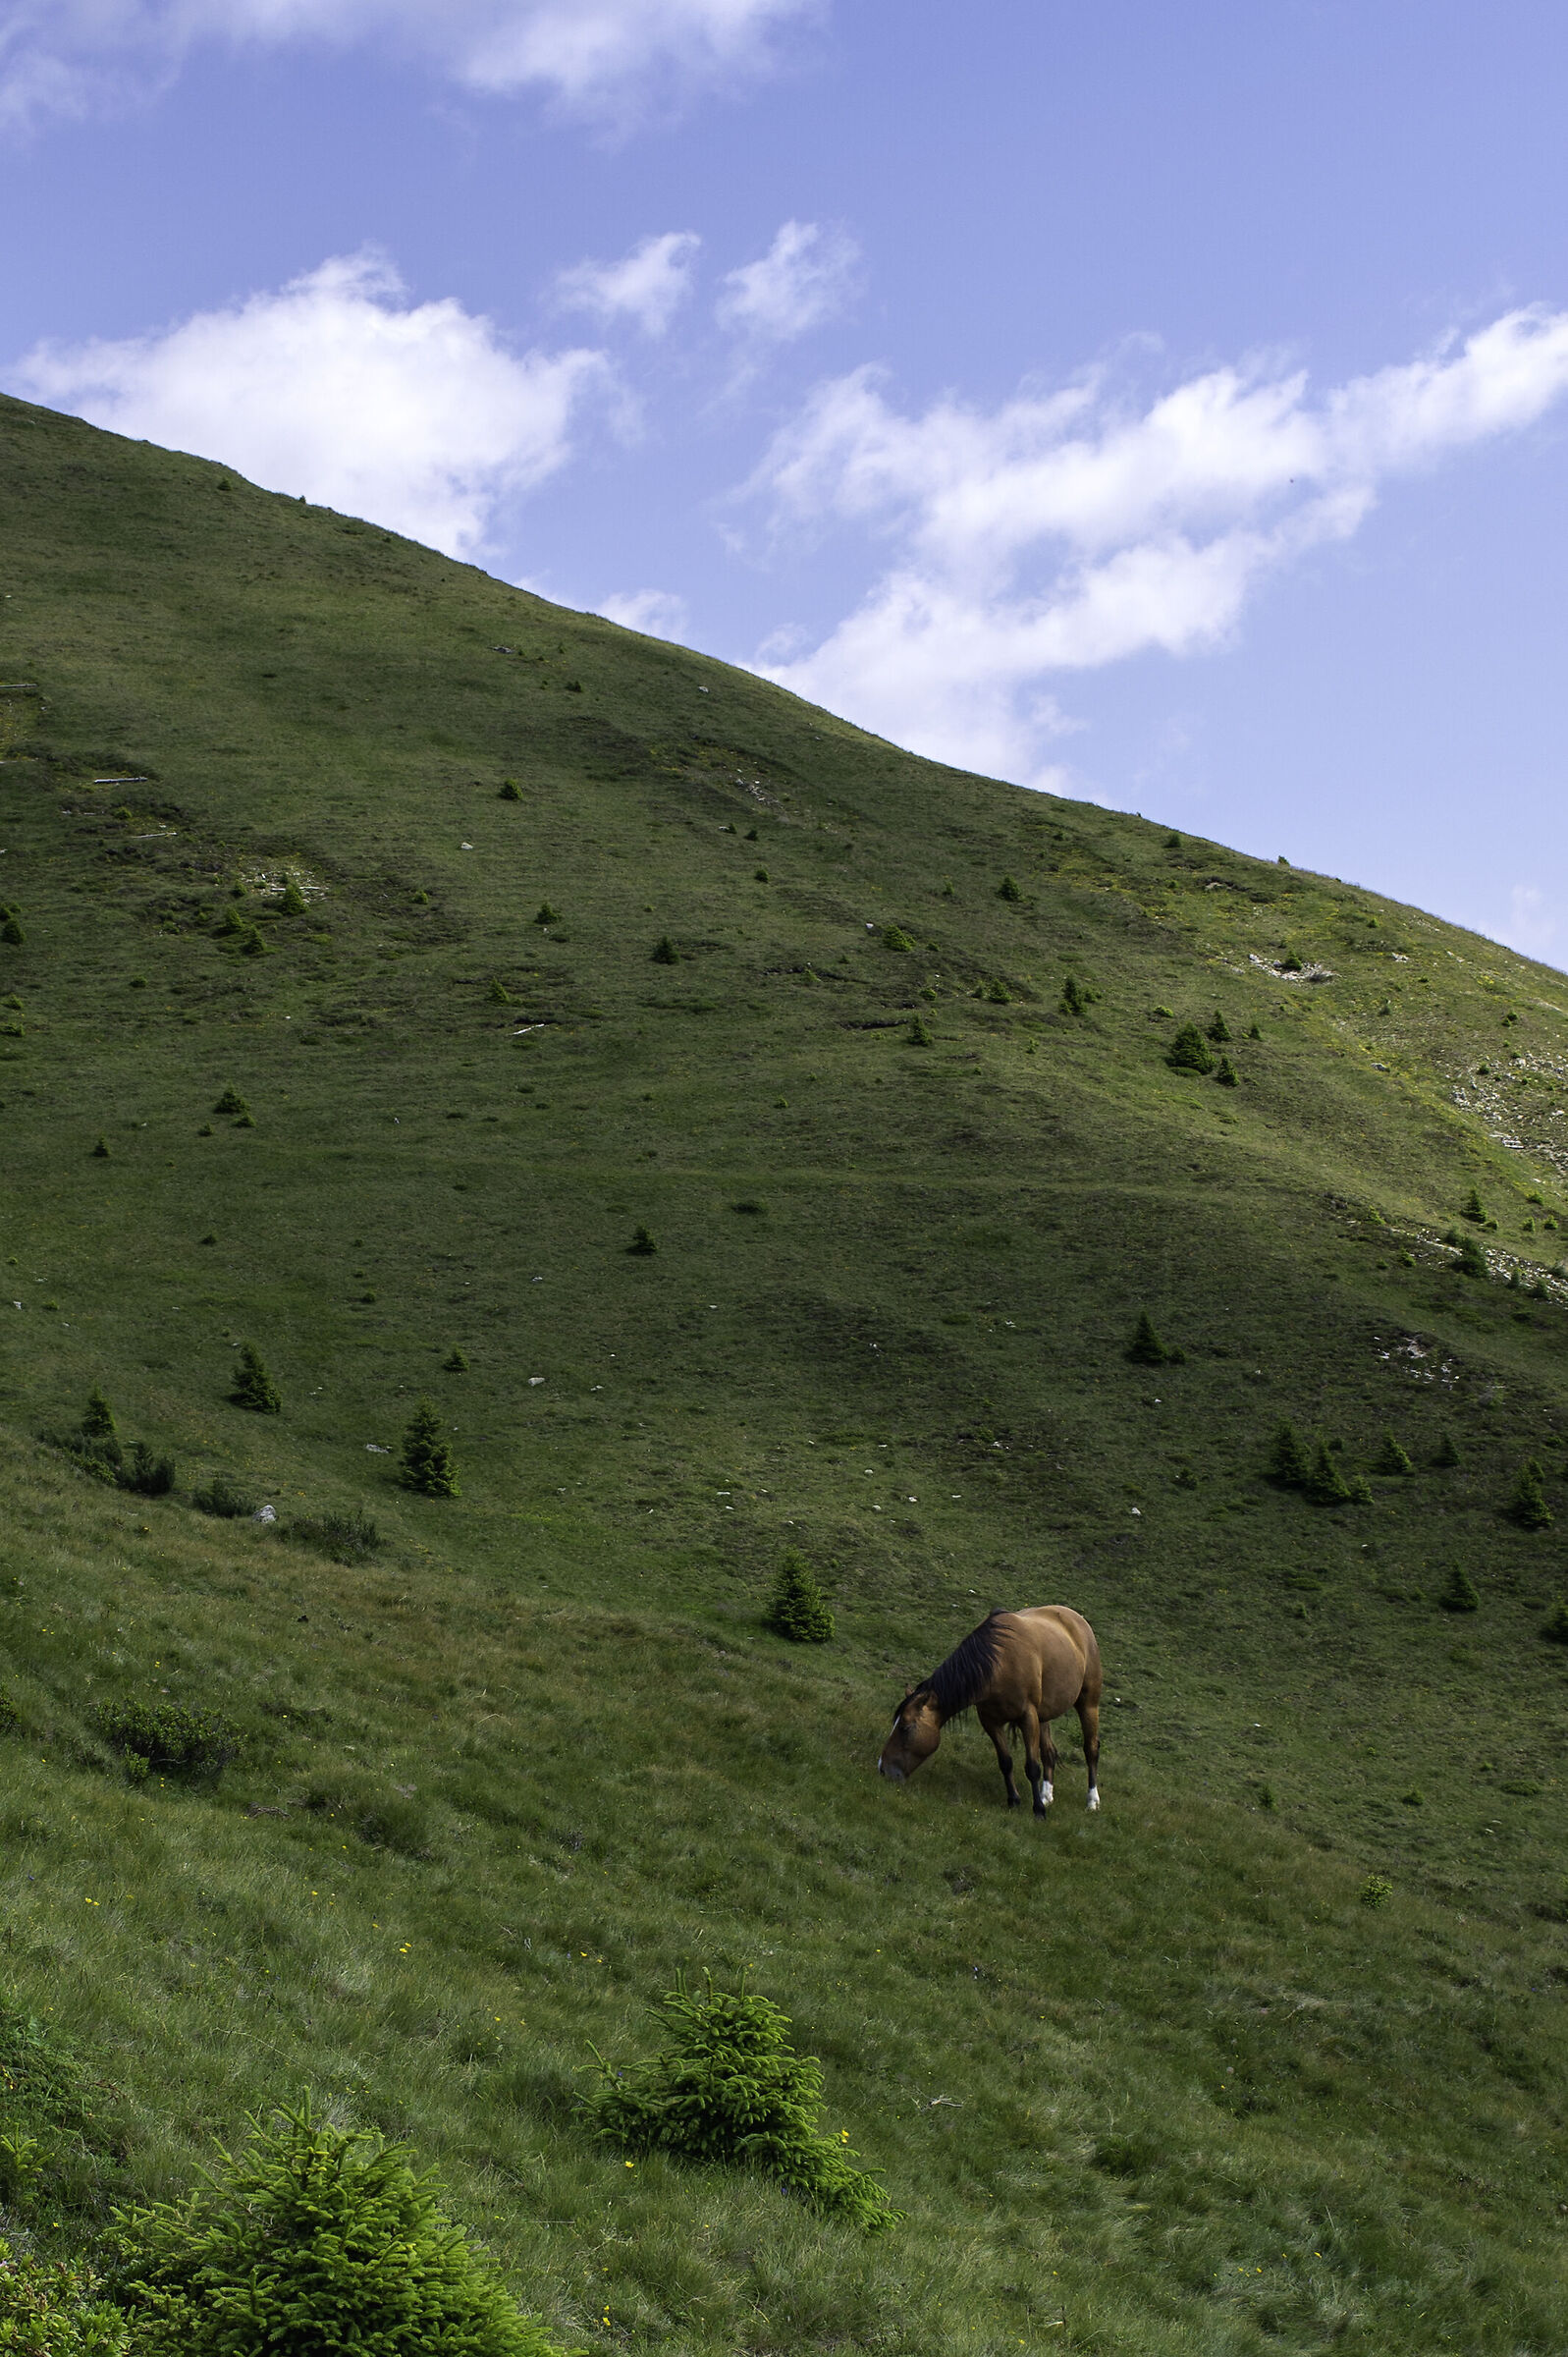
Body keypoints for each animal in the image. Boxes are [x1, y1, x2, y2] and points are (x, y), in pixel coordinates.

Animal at [877, 1605, 1102, 1817]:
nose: (882, 1769)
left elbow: (1032, 1767)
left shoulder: (1027, 1717)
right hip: (1044, 1714)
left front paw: (1038, 1810)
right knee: (1048, 1752)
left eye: (905, 1728)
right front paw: (1014, 1800)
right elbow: (1005, 1762)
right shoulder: (990, 1721)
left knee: (1090, 1749)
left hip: (1088, 1703)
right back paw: (1046, 1795)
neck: (1001, 1664)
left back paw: (1091, 1801)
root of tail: (1076, 1618)